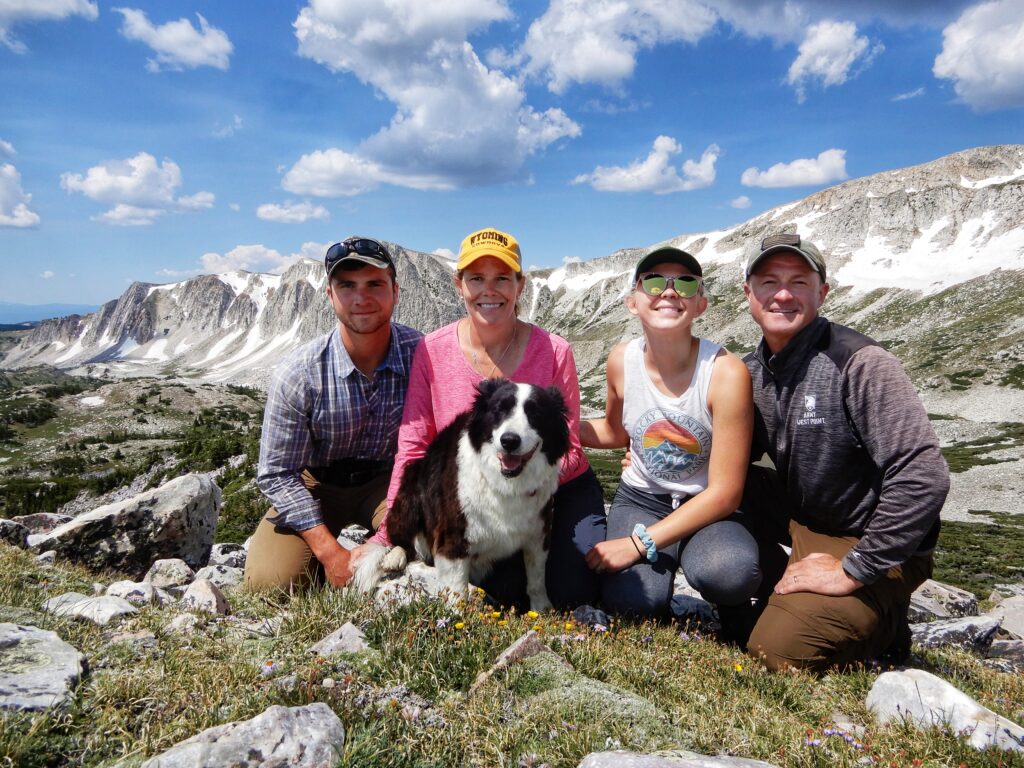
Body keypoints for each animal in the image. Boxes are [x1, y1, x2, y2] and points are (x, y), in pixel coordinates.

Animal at [354, 378, 573, 614]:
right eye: (499, 410)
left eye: (536, 413)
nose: (509, 441)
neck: (506, 483)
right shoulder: (453, 536)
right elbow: (457, 588)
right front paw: (457, 616)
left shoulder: (539, 532)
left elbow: (536, 579)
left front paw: (542, 611)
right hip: (409, 493)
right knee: (405, 545)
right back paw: (395, 557)